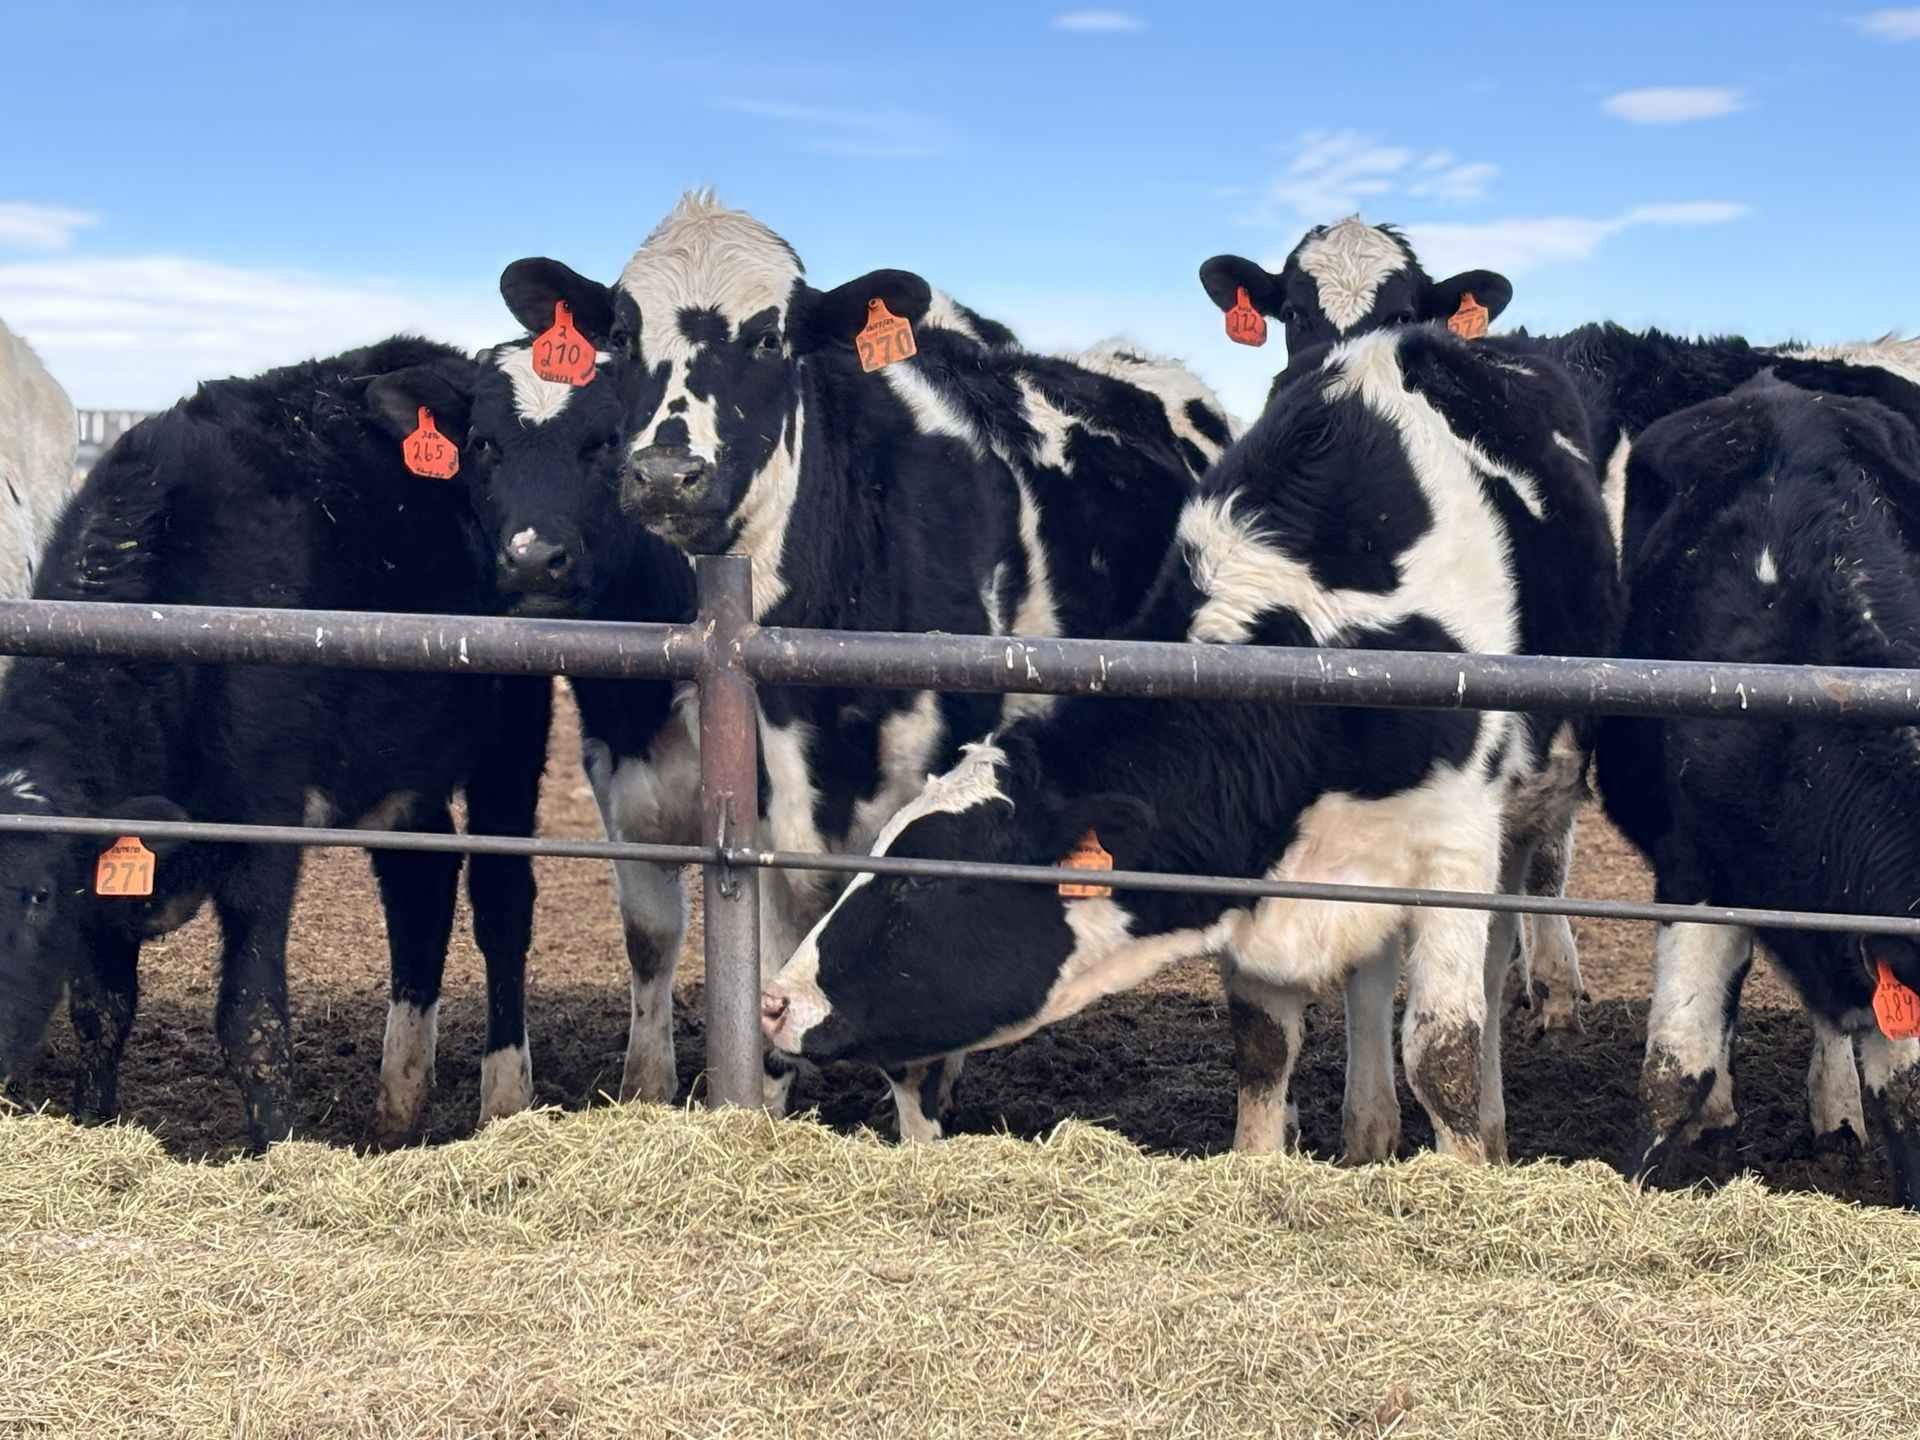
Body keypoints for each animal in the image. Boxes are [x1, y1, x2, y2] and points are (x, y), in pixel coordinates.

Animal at [762, 324, 1621, 1160]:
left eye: (919, 881)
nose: (775, 1000)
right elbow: (1264, 1047)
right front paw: (1260, 1159)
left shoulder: (1453, 845)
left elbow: (1444, 1054)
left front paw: (1470, 1165)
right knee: (1369, 978)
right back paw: (1366, 1135)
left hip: (1525, 817)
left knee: (1494, 961)